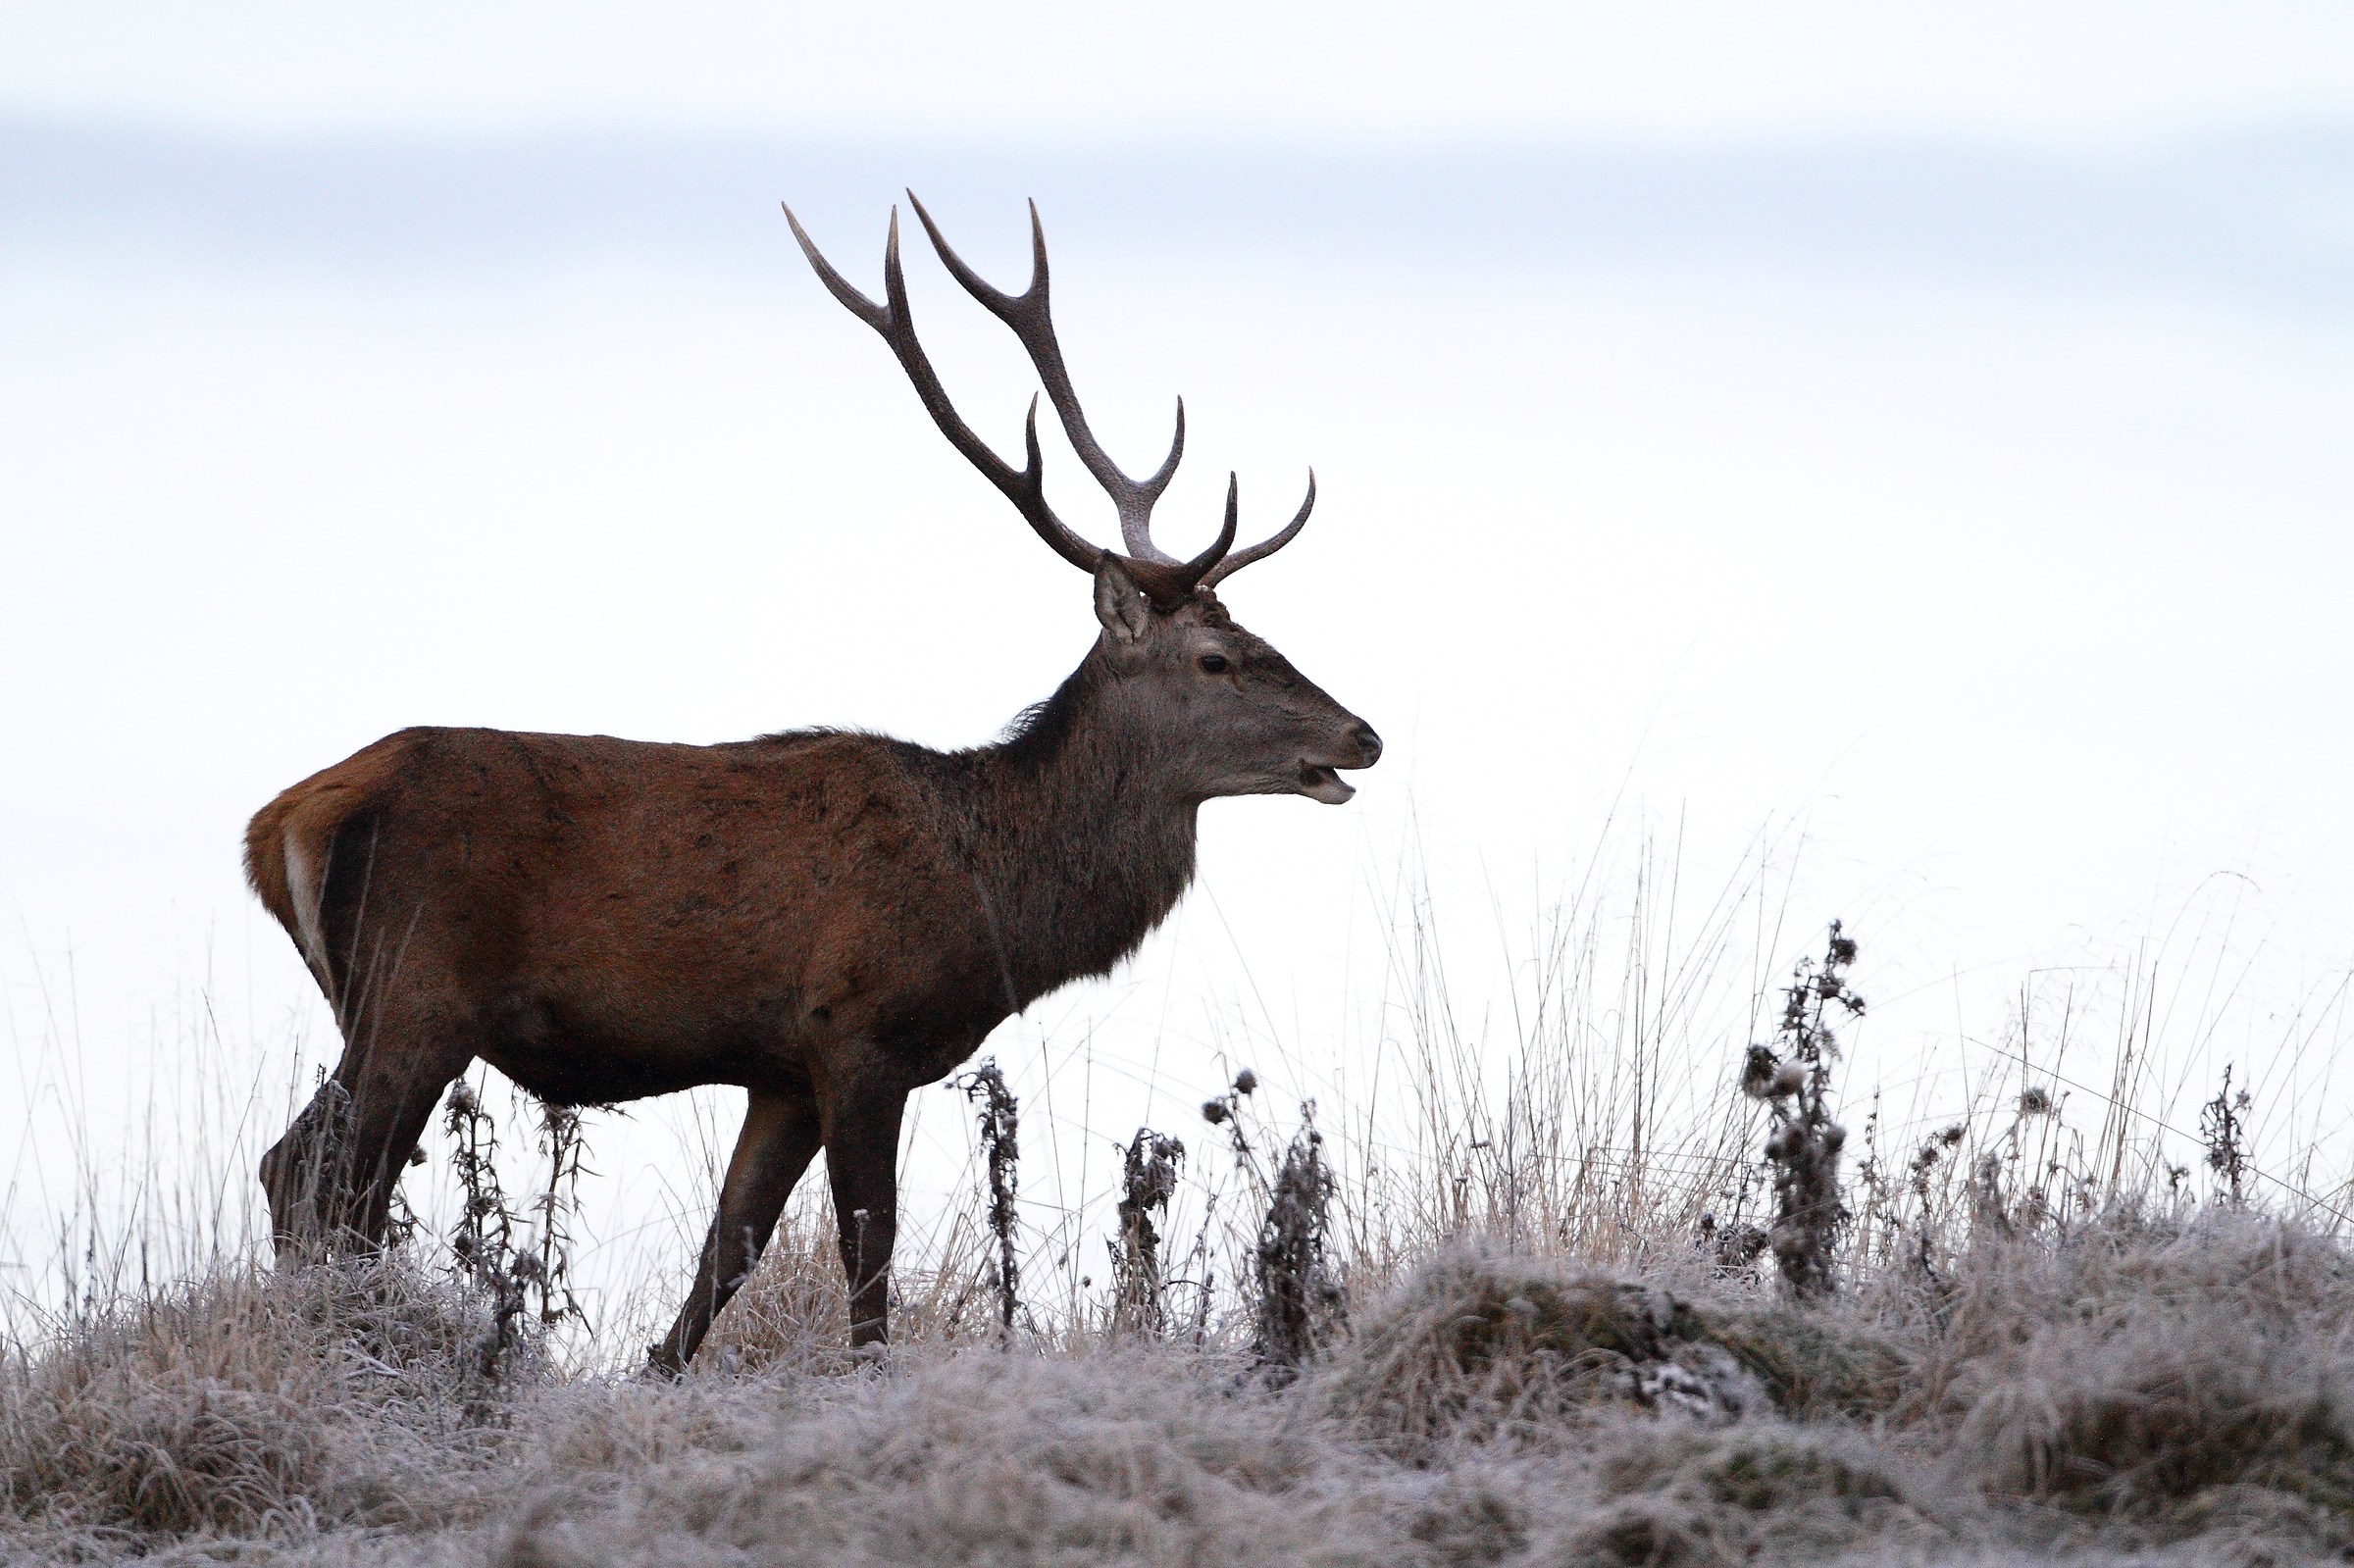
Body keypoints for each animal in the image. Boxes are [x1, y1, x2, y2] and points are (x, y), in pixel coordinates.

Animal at [243, 193, 1380, 1373]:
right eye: (1216, 658)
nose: (1364, 736)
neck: (993, 899)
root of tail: (277, 824)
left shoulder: (780, 1068)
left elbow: (726, 1255)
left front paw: (656, 1380)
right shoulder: (859, 1032)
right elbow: (866, 1263)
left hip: (386, 1001)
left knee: (313, 1173)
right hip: (414, 990)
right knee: (317, 1176)